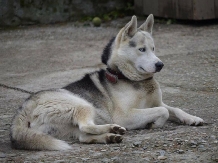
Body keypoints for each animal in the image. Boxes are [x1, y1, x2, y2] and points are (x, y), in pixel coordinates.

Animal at [10, 14, 204, 151]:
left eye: (154, 49)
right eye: (142, 49)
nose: (160, 64)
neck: (128, 77)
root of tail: (24, 108)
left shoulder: (158, 102)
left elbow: (174, 109)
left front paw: (192, 118)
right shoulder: (126, 115)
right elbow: (163, 111)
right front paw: (154, 124)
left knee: (83, 134)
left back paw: (110, 136)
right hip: (82, 105)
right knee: (87, 126)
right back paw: (113, 129)